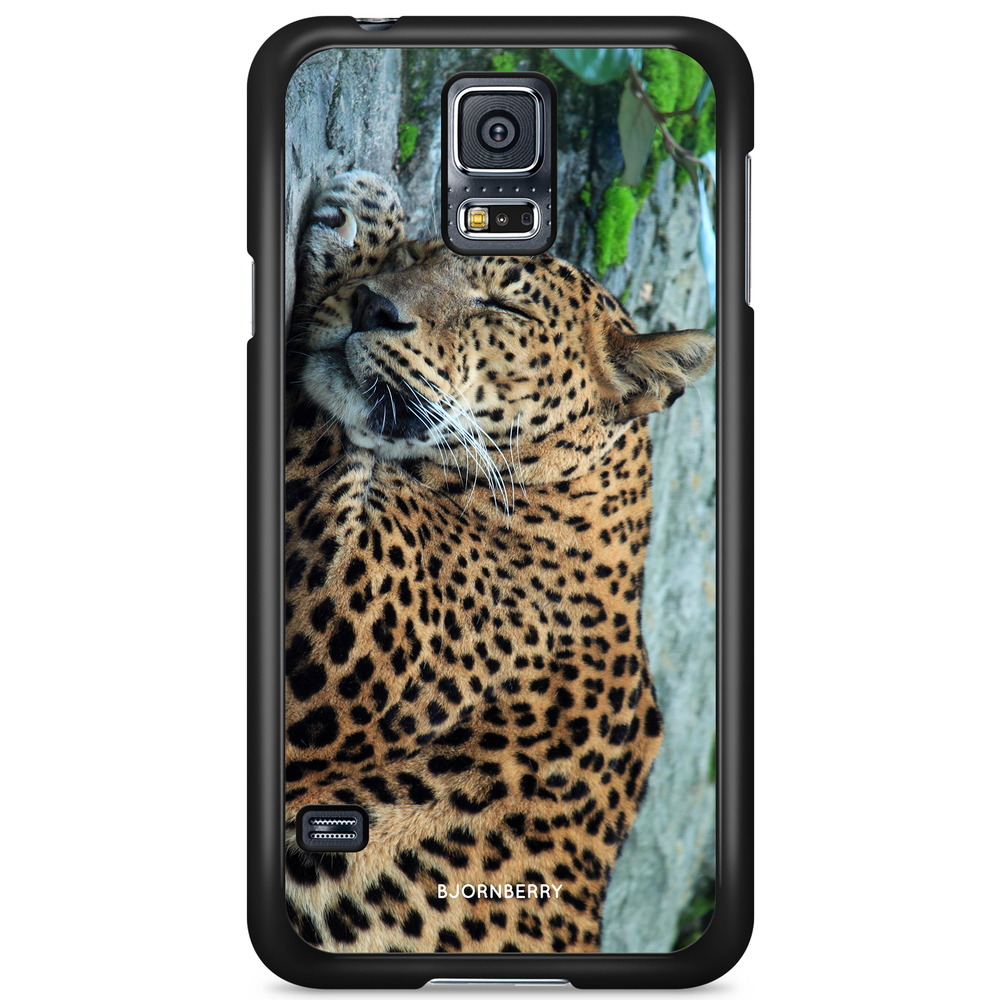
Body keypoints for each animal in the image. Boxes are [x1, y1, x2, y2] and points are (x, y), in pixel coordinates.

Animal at [283, 171, 715, 954]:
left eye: (504, 307)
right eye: (425, 255)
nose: (372, 306)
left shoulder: (342, 614)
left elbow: (323, 429)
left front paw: (361, 218)